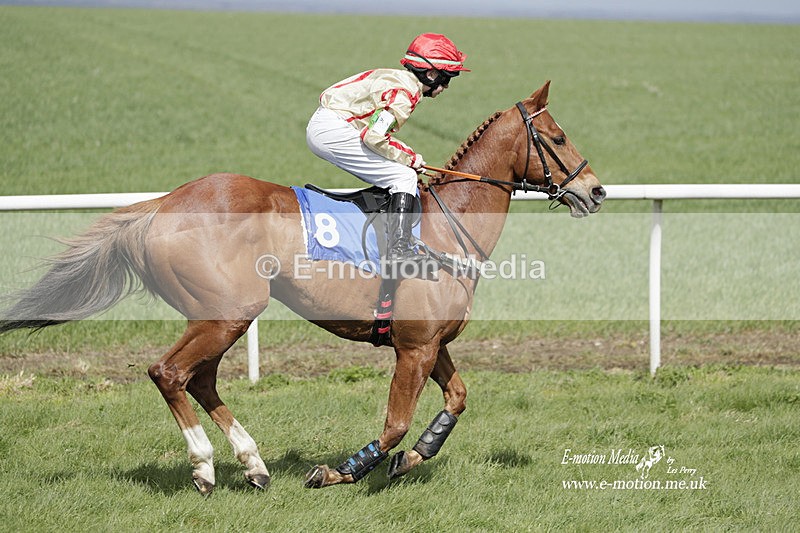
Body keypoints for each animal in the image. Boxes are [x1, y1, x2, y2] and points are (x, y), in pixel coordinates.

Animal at [0, 81, 605, 494]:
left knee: (201, 380)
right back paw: (205, 467)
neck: (443, 227)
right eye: (557, 137)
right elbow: (394, 424)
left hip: (219, 315)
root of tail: (163, 203)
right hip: (227, 313)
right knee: (168, 372)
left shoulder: (433, 343)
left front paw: (412, 459)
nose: (596, 190)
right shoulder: (413, 348)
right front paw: (340, 470)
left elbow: (455, 399)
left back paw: (254, 465)